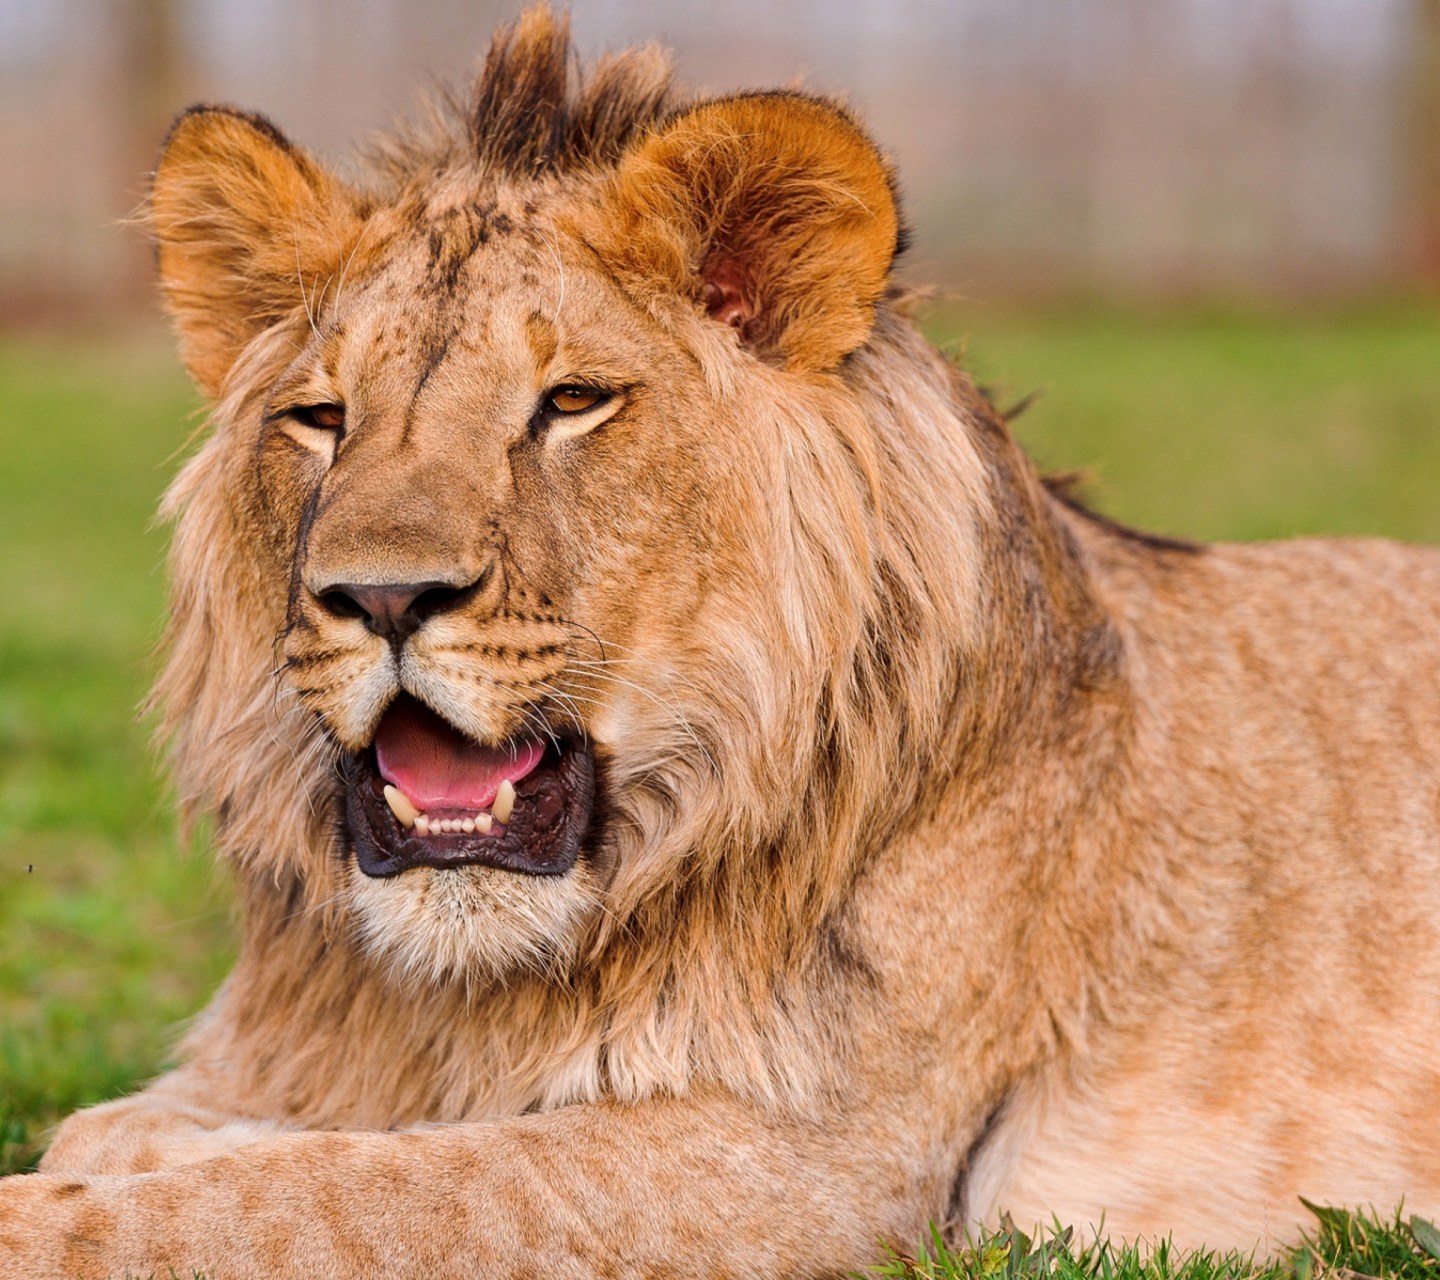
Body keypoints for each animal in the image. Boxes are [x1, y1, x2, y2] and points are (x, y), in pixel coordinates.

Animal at [2, 4, 1440, 1272]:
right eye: (320, 418)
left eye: (572, 402)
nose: (385, 597)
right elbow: (137, 1138)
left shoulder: (814, 1160)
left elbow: (320, 1199)